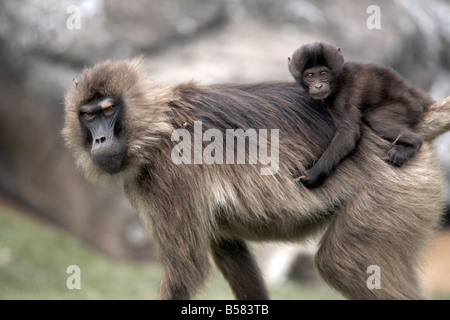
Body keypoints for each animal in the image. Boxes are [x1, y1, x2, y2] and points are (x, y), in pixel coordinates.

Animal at [288, 42, 432, 188]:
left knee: (375, 118)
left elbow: (348, 133)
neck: (336, 81)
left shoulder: (341, 96)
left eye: (323, 73)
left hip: (408, 106)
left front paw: (312, 175)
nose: (318, 86)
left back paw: (414, 143)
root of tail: (412, 92)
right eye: (310, 76)